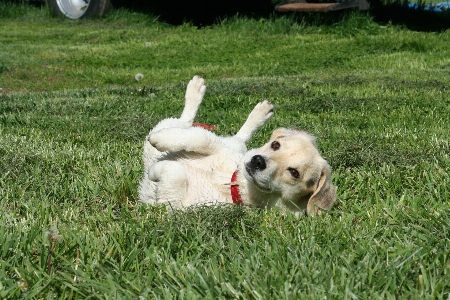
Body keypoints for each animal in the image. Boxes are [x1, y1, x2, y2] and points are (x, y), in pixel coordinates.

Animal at [139, 76, 336, 214]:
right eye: (275, 145)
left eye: (294, 173)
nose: (258, 161)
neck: (230, 181)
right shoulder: (217, 147)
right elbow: (201, 138)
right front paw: (161, 139)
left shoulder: (178, 209)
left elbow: (175, 173)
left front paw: (154, 170)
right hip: (229, 144)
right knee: (193, 124)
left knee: (186, 121)